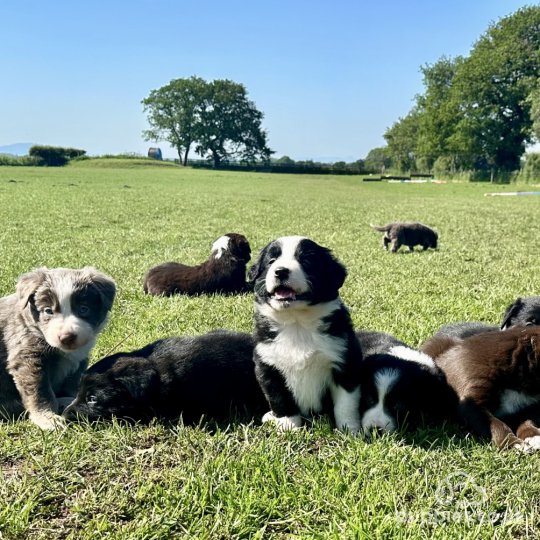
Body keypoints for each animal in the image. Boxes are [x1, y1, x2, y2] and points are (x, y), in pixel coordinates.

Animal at [0, 266, 115, 430]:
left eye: (83, 309)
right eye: (48, 311)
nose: (67, 337)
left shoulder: (80, 358)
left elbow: (74, 380)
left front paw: (75, 400)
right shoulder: (27, 355)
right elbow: (39, 391)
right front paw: (47, 417)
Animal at [249, 234, 362, 432]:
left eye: (306, 261)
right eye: (271, 261)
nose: (280, 271)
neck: (297, 323)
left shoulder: (345, 362)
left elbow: (345, 404)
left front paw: (349, 430)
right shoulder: (268, 364)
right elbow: (279, 398)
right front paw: (288, 425)